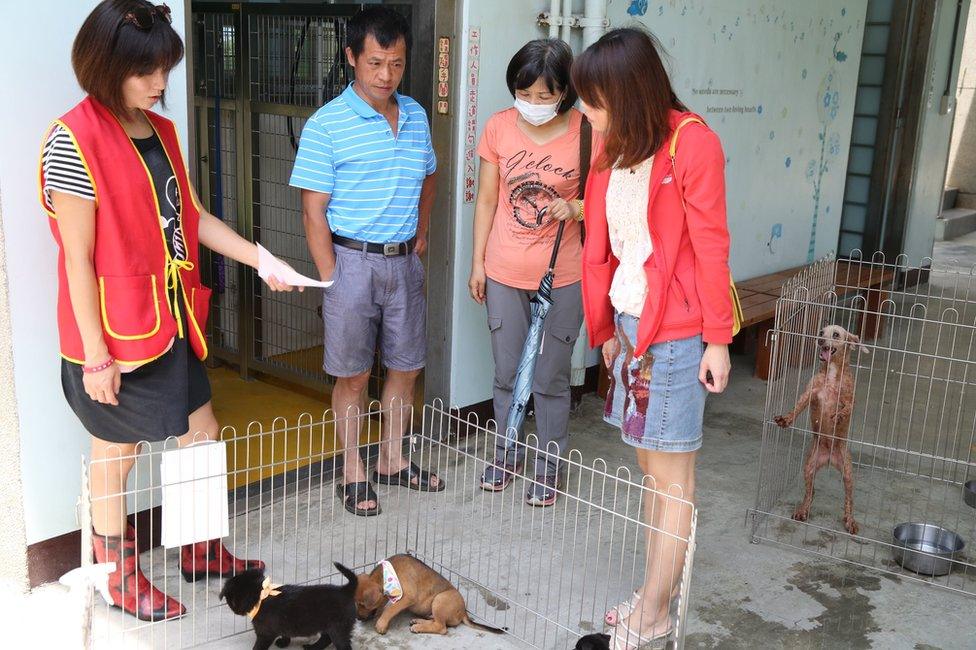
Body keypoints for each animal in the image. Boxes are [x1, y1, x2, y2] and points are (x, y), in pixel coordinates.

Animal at [219, 560, 356, 644]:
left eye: (231, 602)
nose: (234, 610)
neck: (261, 597)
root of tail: (345, 589)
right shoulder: (283, 624)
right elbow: (285, 633)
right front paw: (284, 642)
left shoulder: (265, 634)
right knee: (326, 639)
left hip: (338, 628)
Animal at [354, 548, 504, 636]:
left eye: (362, 604)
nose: (358, 618)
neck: (386, 574)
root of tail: (464, 612)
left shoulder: (408, 597)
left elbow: (390, 609)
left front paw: (381, 623)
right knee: (435, 621)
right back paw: (418, 621)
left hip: (440, 599)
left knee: (441, 627)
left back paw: (418, 627)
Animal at [772, 322, 864, 532]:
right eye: (821, 332)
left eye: (836, 334)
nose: (820, 340)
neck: (831, 373)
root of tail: (829, 459)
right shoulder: (810, 393)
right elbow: (796, 408)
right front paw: (786, 420)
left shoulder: (850, 399)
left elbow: (846, 408)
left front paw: (838, 415)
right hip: (809, 467)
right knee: (810, 492)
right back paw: (802, 510)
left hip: (848, 474)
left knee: (849, 500)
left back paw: (850, 520)